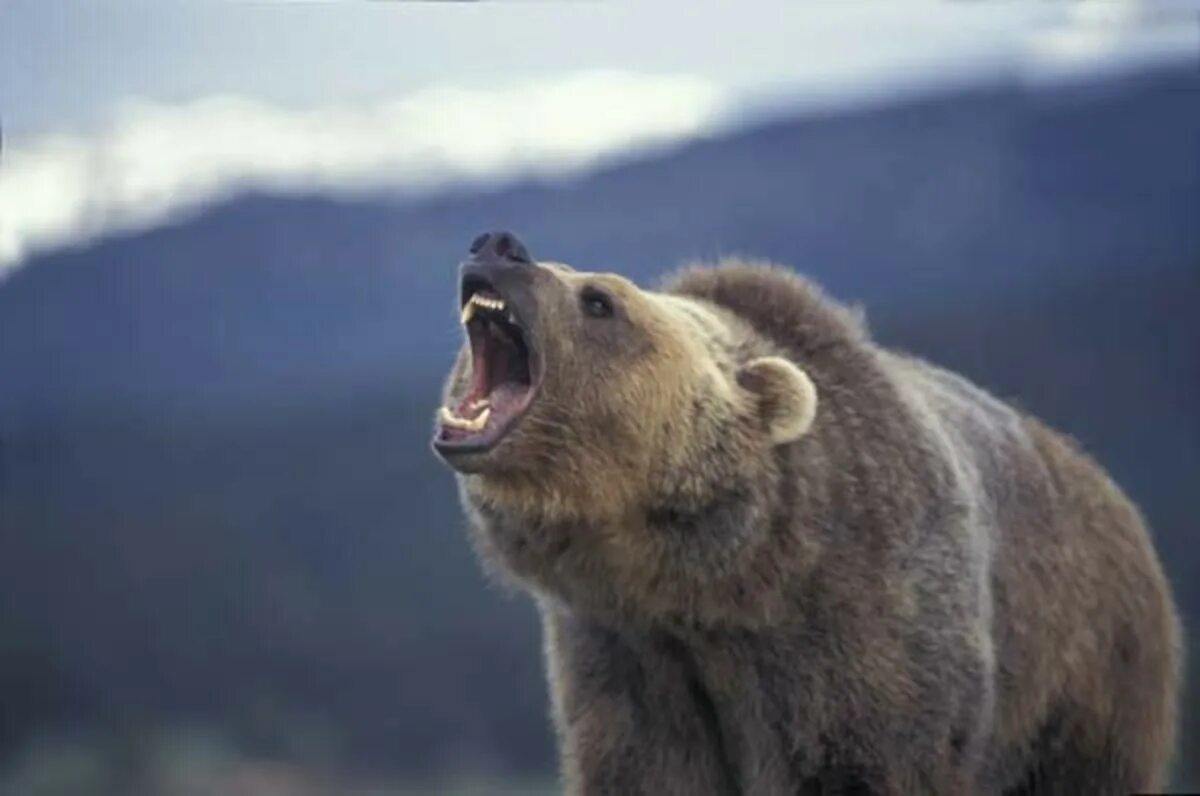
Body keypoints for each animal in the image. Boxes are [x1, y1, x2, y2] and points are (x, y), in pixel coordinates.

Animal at [432, 230, 1180, 796]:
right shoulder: (624, 661)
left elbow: (865, 760)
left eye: (599, 299)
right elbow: (642, 771)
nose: (499, 245)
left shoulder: (867, 632)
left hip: (1087, 674)